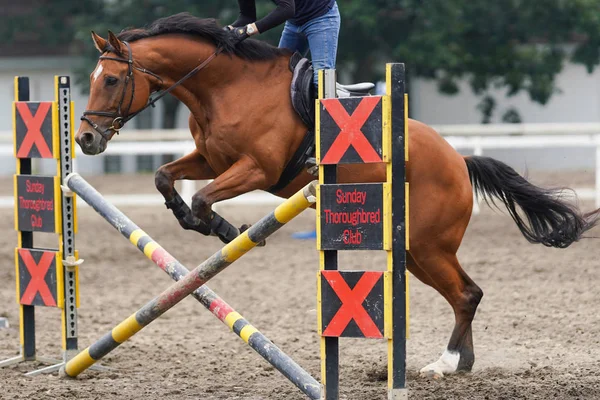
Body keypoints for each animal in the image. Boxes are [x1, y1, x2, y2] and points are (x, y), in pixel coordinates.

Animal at [77, 13, 600, 378]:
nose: (85, 139)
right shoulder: (211, 159)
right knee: (463, 294)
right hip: (414, 251)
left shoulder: (257, 169)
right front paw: (194, 219)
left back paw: (446, 363)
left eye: (111, 80)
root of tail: (457, 160)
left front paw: (228, 229)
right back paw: (459, 364)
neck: (222, 87)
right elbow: (165, 177)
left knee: (468, 293)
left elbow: (205, 199)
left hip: (426, 245)